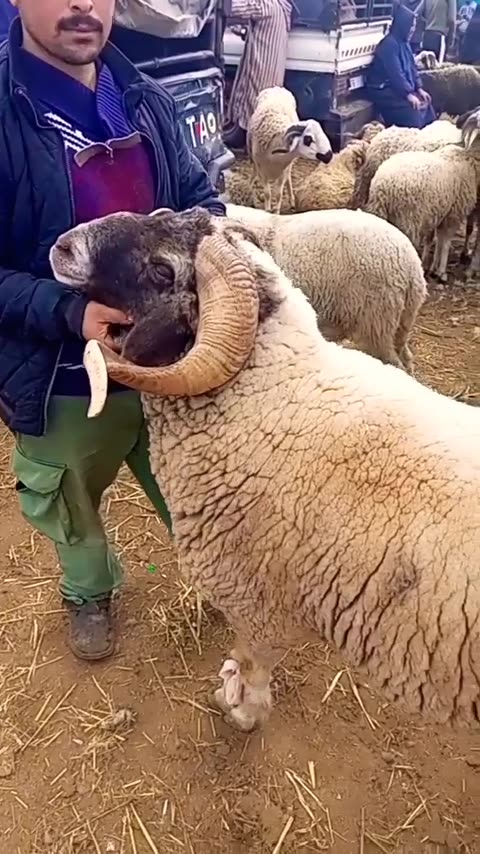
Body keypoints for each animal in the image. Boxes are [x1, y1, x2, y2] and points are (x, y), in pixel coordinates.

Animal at [366, 109, 480, 282]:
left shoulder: (444, 209)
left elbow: (441, 238)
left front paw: (435, 267)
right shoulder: (454, 212)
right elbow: (445, 241)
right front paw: (441, 271)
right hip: (409, 219)